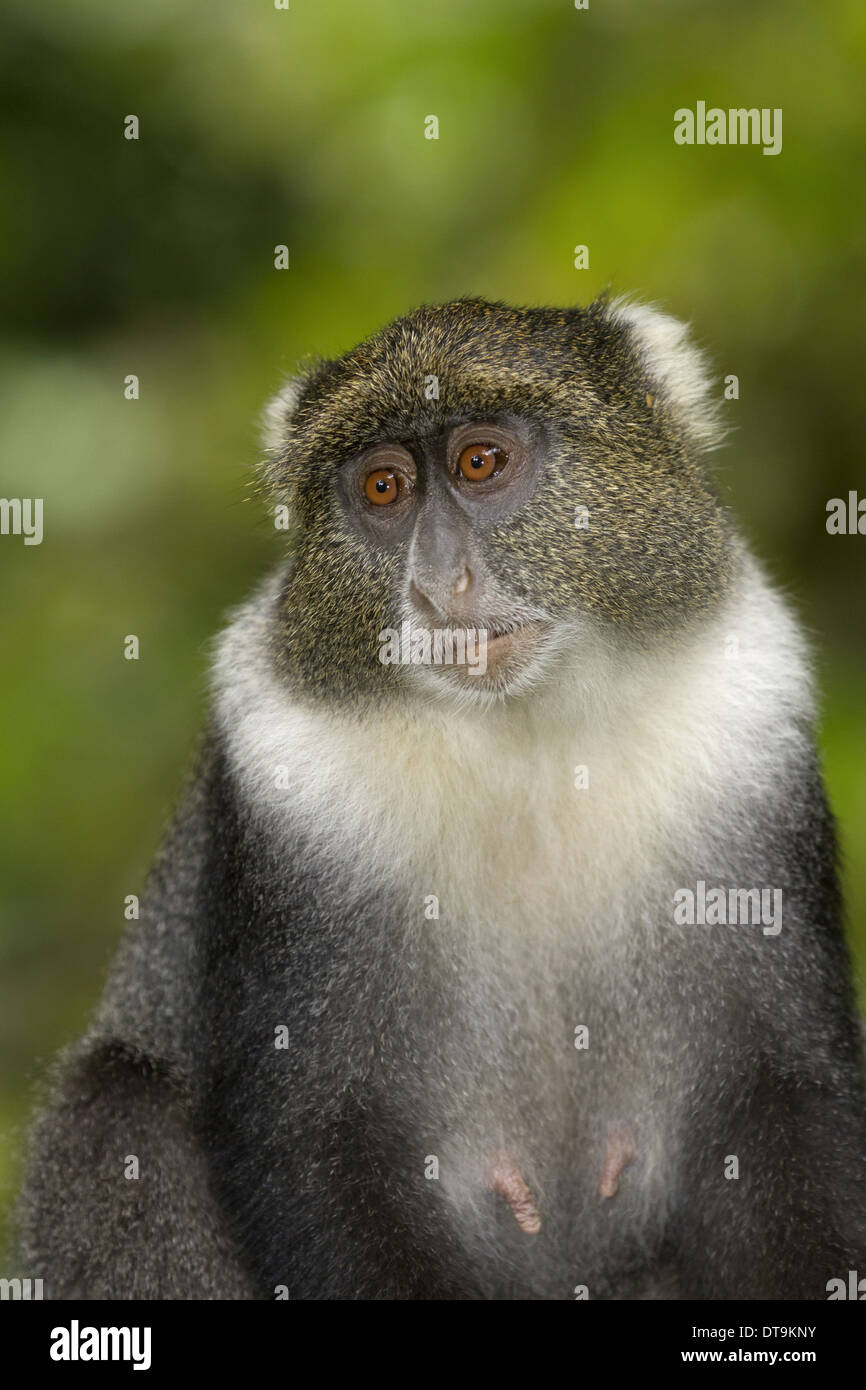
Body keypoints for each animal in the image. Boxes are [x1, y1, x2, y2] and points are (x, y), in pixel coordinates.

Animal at [11, 296, 866, 1301]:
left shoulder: (745, 734)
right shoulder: (290, 786)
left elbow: (784, 1102)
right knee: (112, 1109)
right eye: (383, 488)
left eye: (480, 463)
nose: (435, 584)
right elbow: (319, 1144)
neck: (528, 740)